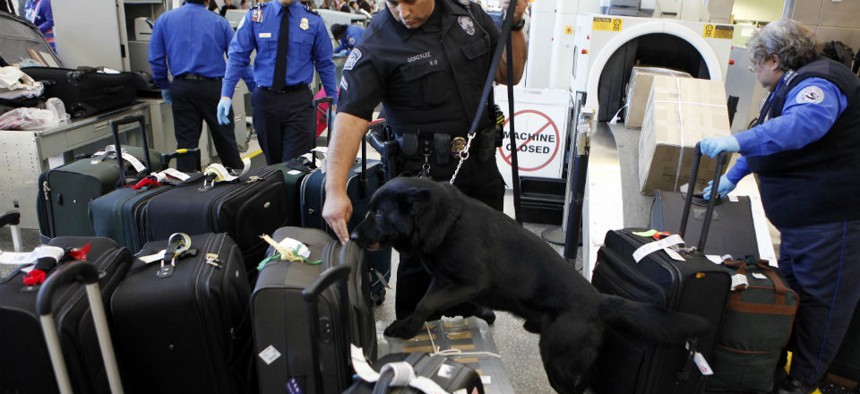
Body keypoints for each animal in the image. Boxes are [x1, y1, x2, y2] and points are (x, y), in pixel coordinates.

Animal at [350, 177, 712, 392]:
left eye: (378, 214)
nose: (351, 235)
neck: (448, 222)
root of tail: (598, 300)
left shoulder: (470, 282)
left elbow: (427, 303)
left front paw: (404, 327)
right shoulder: (442, 280)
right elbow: (425, 303)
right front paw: (411, 326)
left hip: (558, 359)